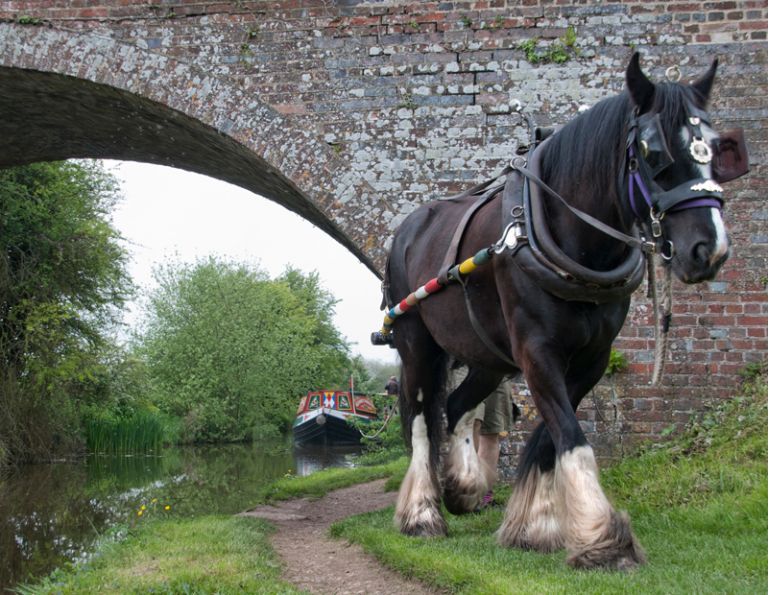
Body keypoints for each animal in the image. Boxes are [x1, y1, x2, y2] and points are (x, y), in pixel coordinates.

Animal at [379, 53, 748, 571]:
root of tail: (409, 228)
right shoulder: (537, 352)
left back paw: (463, 487)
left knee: (456, 407)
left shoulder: (591, 357)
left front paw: (535, 525)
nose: (709, 249)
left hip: (487, 356)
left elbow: (550, 438)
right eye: (653, 151)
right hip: (416, 342)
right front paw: (603, 538)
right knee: (418, 419)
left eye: (715, 148)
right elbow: (571, 435)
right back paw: (422, 514)